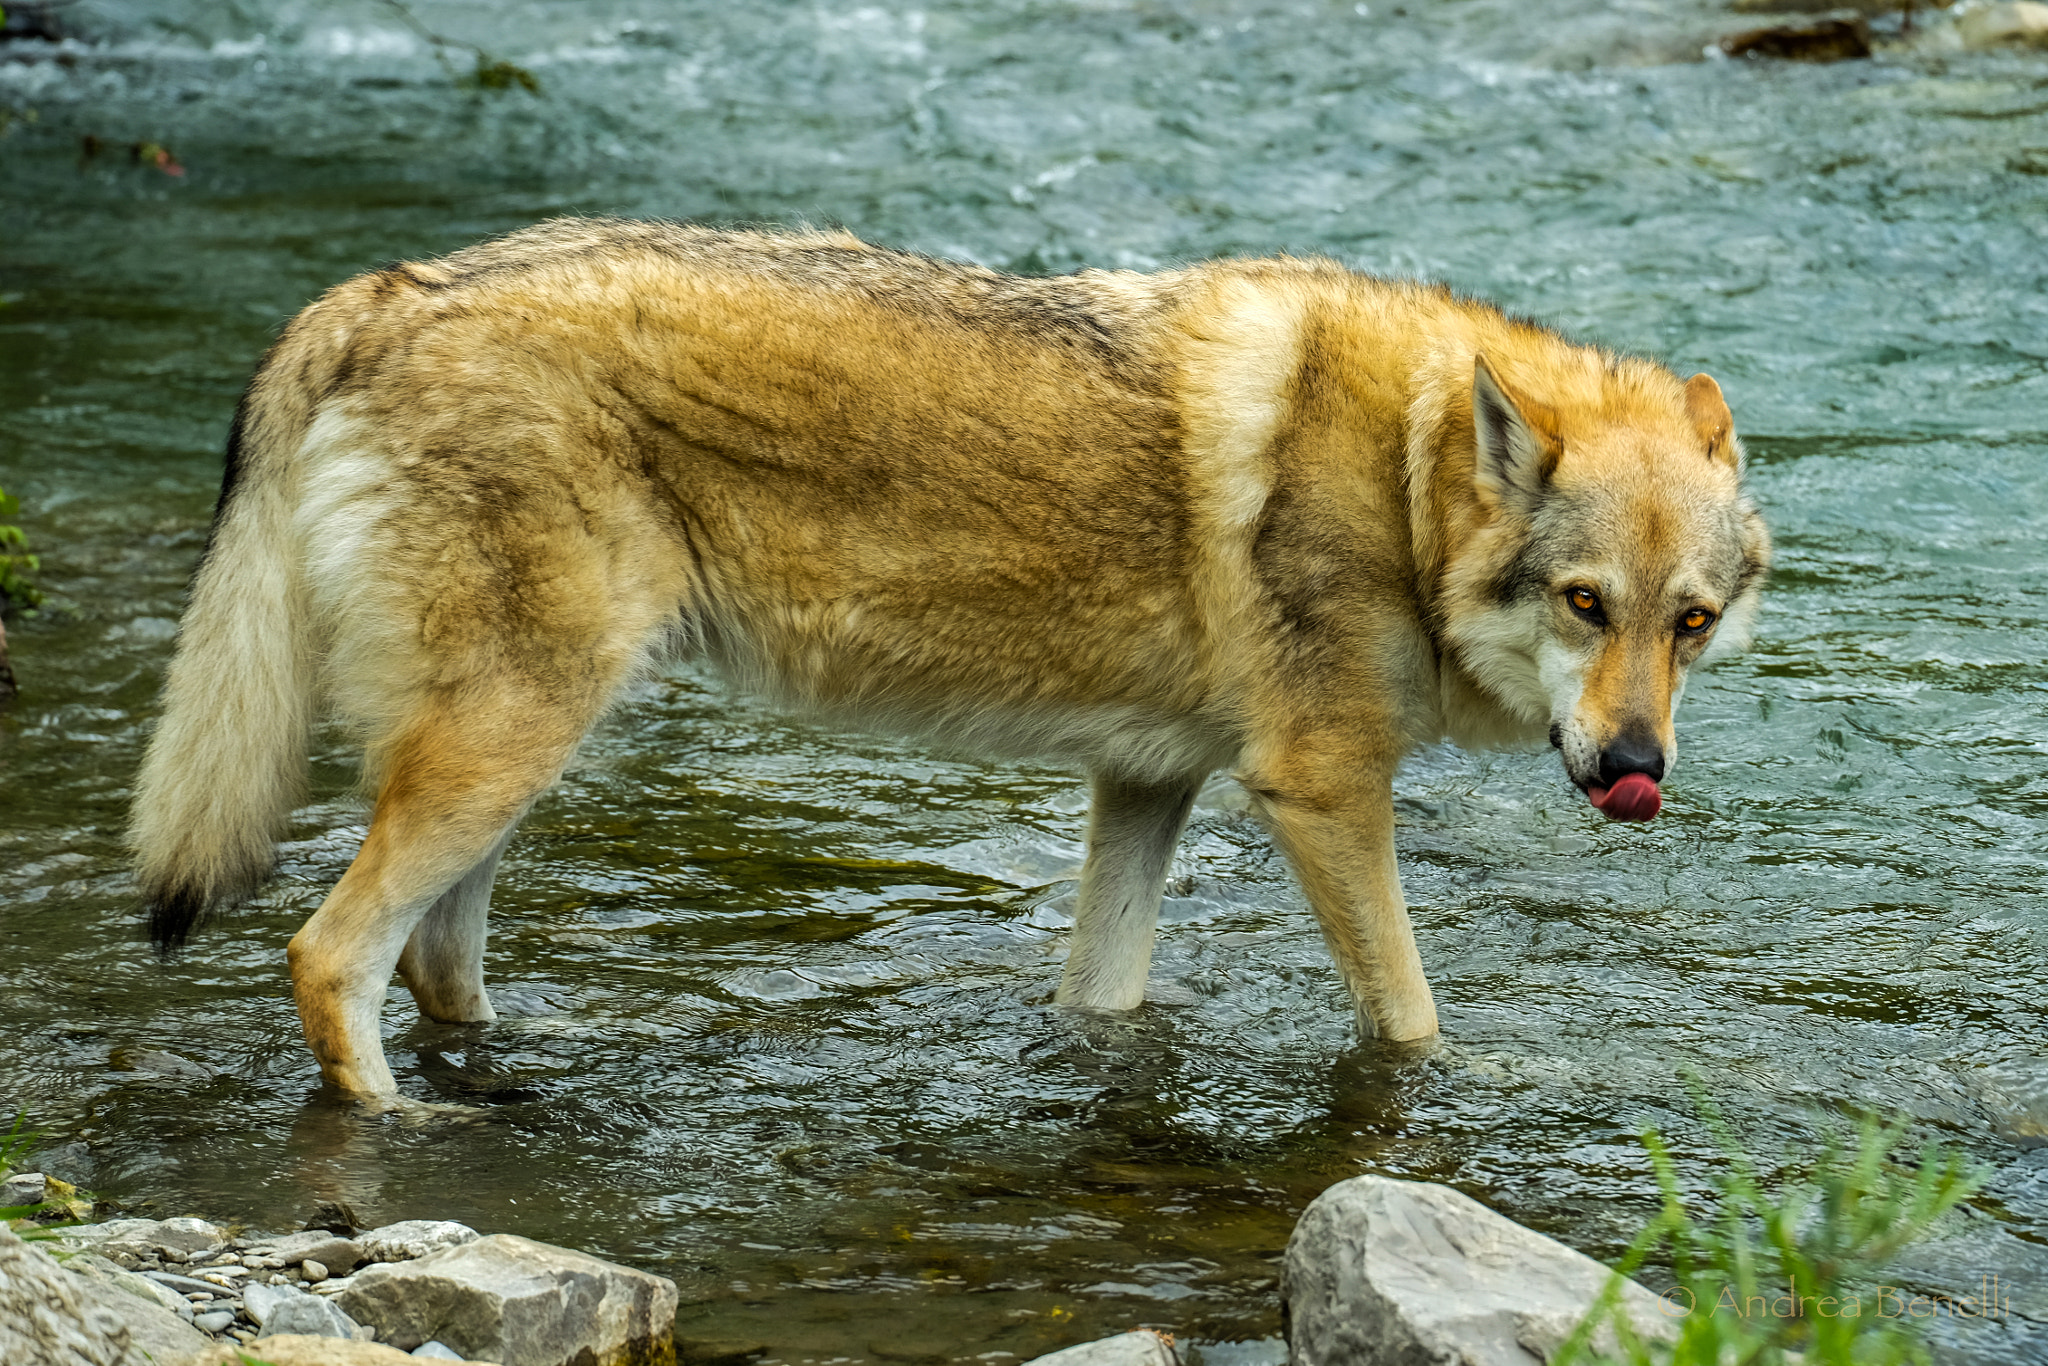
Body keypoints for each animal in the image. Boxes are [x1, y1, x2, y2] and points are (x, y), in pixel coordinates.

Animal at [128, 222, 1769, 1097]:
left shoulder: (1144, 786)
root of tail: (379, 291)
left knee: (436, 964)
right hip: (504, 745)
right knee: (327, 953)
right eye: (1582, 605)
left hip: (514, 762)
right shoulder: (1319, 793)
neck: (1404, 474)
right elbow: (1412, 1017)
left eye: (1685, 622)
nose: (1636, 769)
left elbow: (1103, 997)